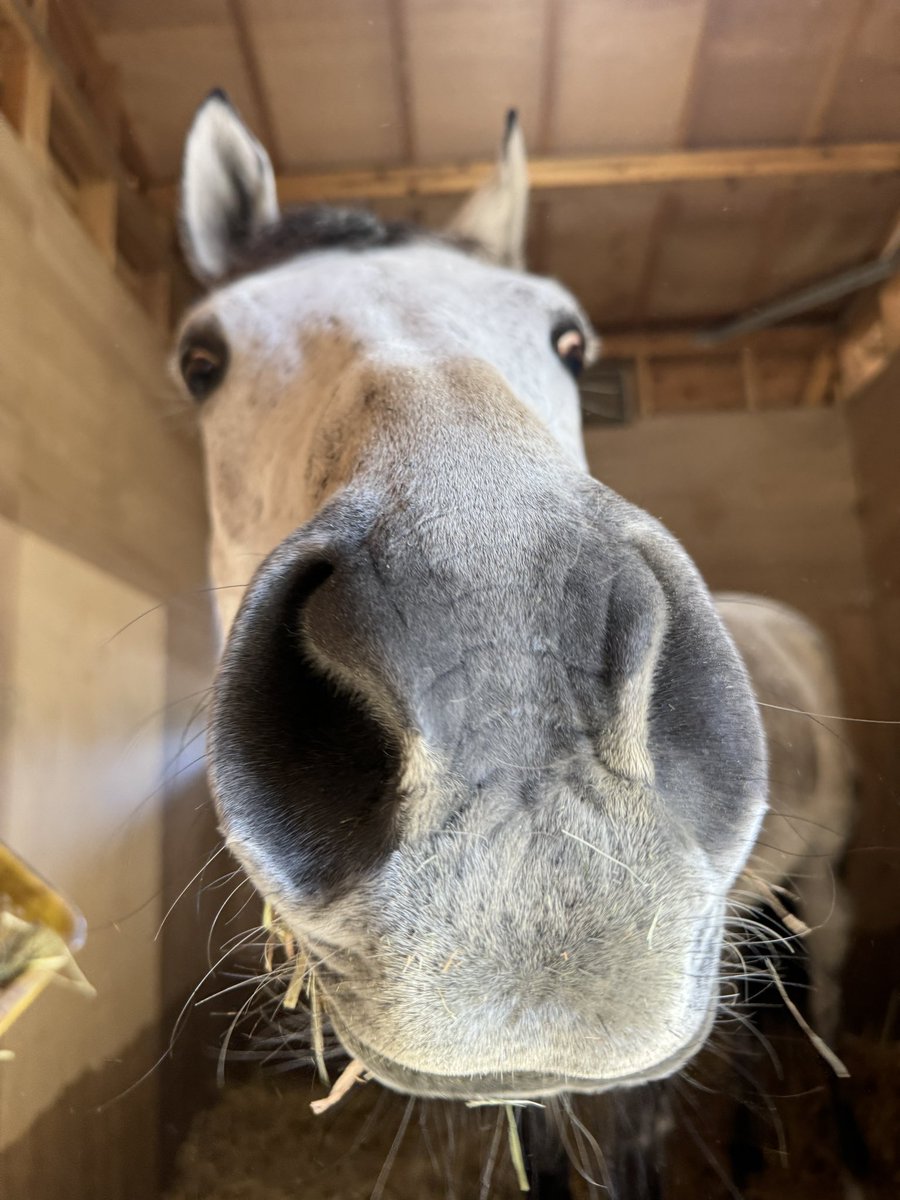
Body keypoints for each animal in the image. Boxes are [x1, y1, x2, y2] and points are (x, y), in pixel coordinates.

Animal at [172, 92, 856, 1196]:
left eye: (568, 339)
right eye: (203, 360)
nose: (516, 706)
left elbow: (637, 1149)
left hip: (826, 882)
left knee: (821, 997)